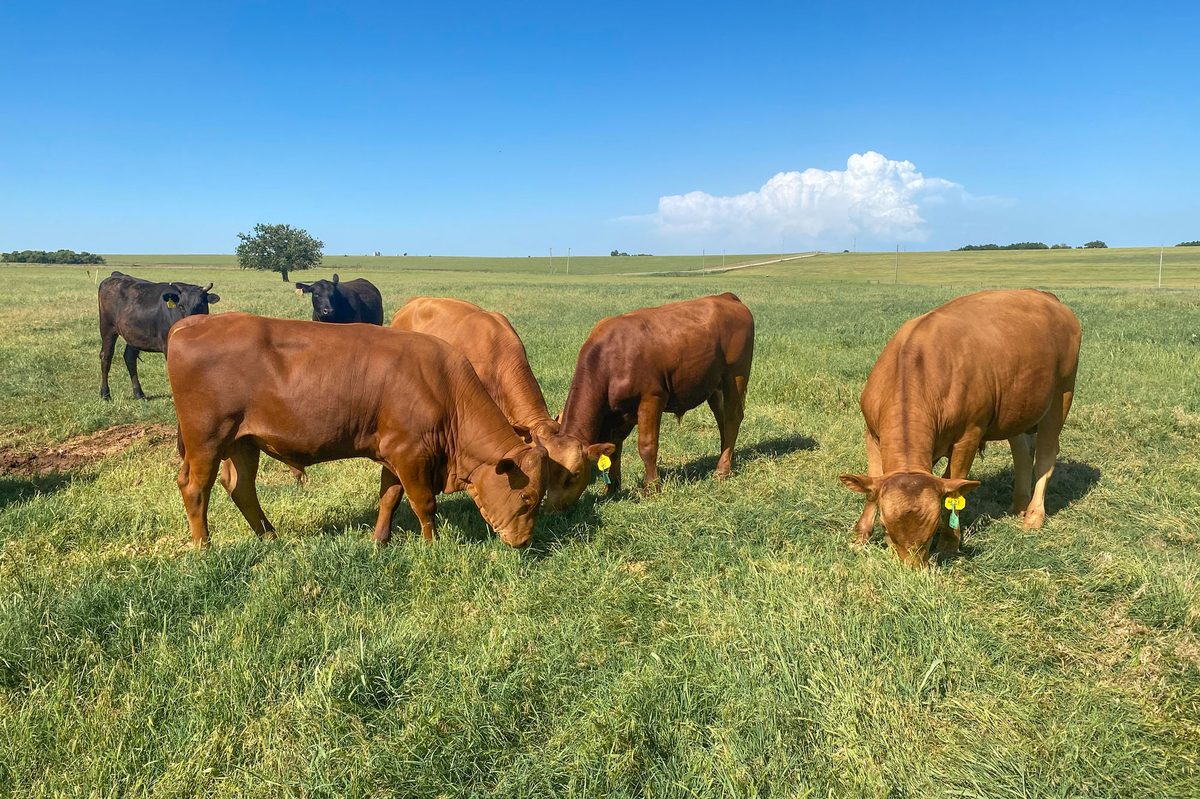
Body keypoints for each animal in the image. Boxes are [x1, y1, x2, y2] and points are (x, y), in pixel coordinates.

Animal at [98, 271, 220, 400]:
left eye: (200, 304)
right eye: (181, 306)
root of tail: (117, 275)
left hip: (133, 334)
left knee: (129, 357)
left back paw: (139, 394)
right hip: (107, 327)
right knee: (106, 356)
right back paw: (105, 394)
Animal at [166, 313, 548, 549]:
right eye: (527, 498)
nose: (524, 541)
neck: (445, 388)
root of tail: (192, 323)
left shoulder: (396, 453)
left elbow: (389, 497)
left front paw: (381, 540)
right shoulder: (411, 455)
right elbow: (424, 503)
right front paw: (432, 544)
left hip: (243, 442)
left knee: (240, 487)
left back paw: (269, 536)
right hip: (207, 439)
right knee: (195, 488)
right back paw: (203, 546)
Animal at [556, 292, 754, 499]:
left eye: (575, 474)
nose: (551, 506)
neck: (609, 359)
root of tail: (726, 297)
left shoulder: (651, 398)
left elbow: (647, 446)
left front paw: (652, 486)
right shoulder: (619, 413)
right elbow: (614, 448)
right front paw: (612, 487)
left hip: (735, 375)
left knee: (732, 418)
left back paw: (722, 470)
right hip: (714, 386)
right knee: (722, 419)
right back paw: (725, 456)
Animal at [839, 289, 1081, 567]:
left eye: (933, 528)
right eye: (886, 527)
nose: (912, 570)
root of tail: (1046, 296)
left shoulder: (969, 435)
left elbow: (954, 486)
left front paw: (949, 542)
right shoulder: (871, 433)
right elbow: (872, 486)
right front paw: (860, 537)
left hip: (1061, 396)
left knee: (1045, 457)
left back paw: (1033, 515)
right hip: (1019, 408)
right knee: (1022, 454)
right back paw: (1018, 506)